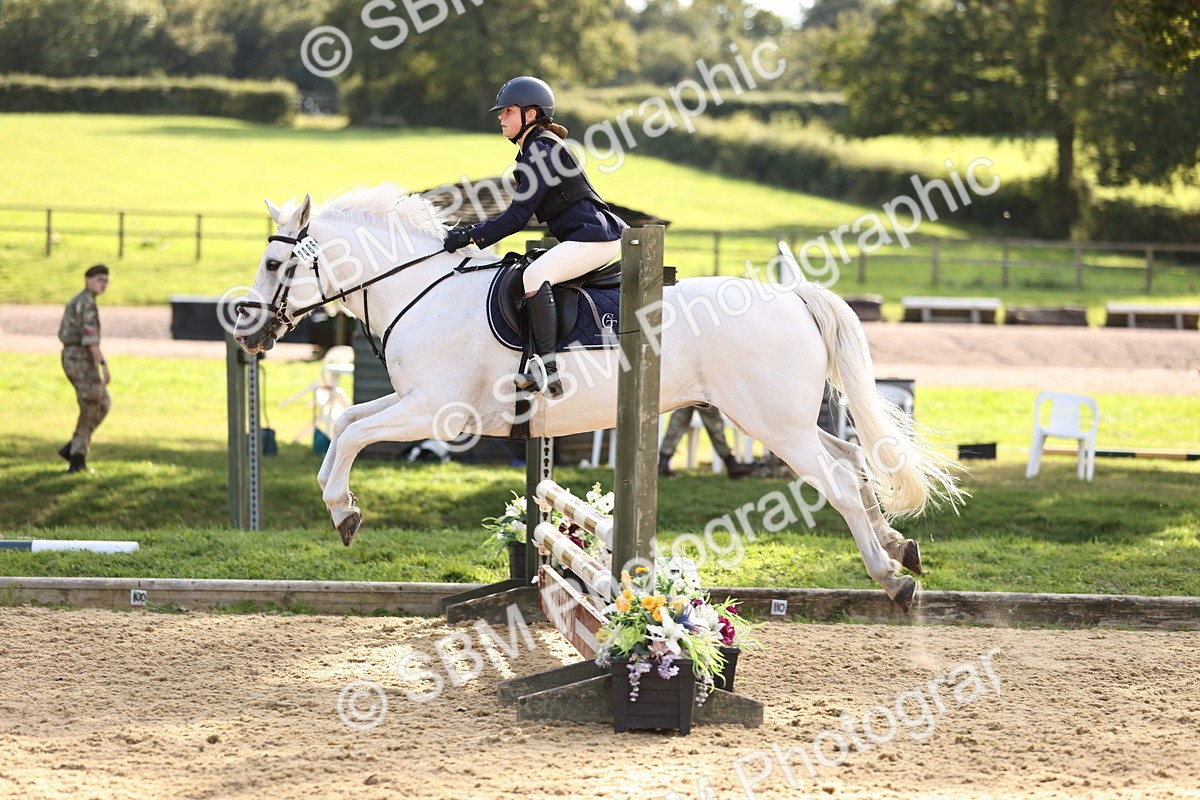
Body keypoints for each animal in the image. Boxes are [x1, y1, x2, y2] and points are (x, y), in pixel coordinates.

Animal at [233, 184, 963, 611]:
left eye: (273, 265)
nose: (245, 329)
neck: (422, 290)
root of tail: (790, 295)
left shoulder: (436, 410)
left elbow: (355, 431)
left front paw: (343, 509)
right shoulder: (411, 401)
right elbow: (348, 422)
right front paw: (341, 509)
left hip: (771, 423)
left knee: (837, 480)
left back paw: (891, 576)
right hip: (783, 419)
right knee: (853, 458)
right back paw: (900, 548)